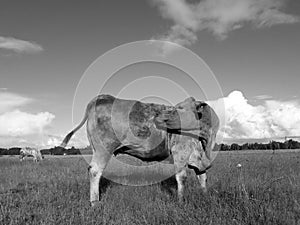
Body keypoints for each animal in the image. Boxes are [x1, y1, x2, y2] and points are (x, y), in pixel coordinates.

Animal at [60, 94, 218, 205]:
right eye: (178, 108)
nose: (160, 119)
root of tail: (104, 97)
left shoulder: (197, 157)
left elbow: (202, 176)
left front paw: (205, 195)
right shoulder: (181, 152)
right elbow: (182, 177)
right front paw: (180, 202)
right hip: (103, 148)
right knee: (95, 171)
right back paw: (95, 203)